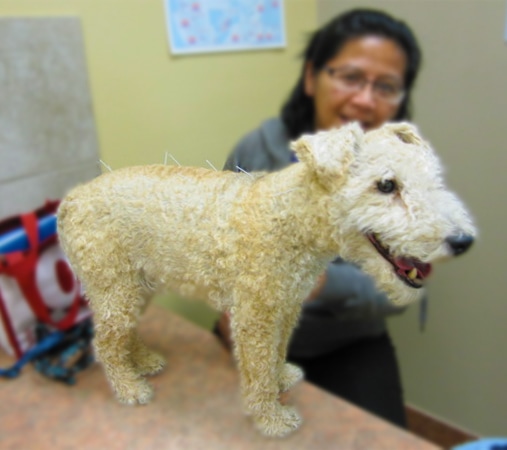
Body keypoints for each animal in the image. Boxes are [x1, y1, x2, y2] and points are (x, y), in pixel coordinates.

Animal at [57, 122, 478, 436]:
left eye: (434, 180)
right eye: (386, 185)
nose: (464, 241)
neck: (293, 217)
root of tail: (70, 200)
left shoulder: (286, 305)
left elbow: (276, 353)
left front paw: (282, 378)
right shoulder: (254, 316)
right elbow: (257, 369)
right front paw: (271, 419)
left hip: (134, 286)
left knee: (121, 335)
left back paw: (143, 360)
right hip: (114, 287)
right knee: (105, 343)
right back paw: (129, 387)